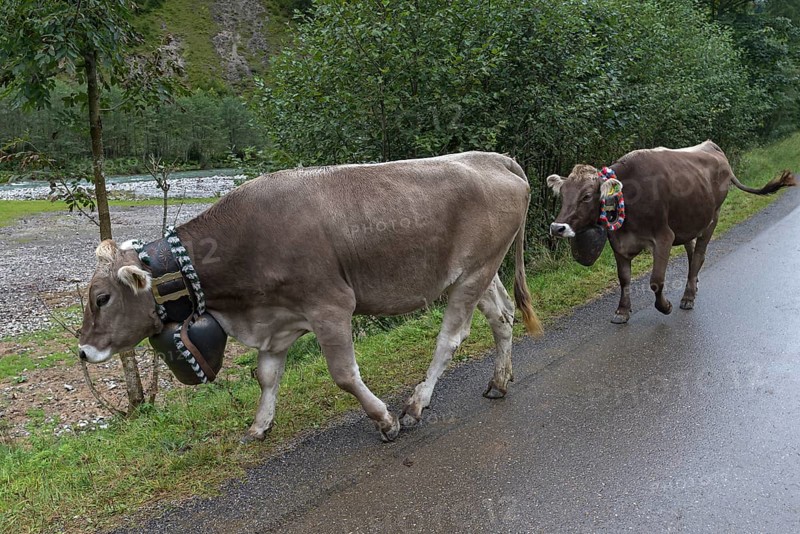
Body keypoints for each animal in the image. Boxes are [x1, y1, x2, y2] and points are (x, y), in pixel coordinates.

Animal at [78, 152, 542, 443]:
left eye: (101, 298)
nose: (83, 350)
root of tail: (490, 157)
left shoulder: (330, 306)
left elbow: (343, 374)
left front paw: (384, 420)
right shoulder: (277, 319)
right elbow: (266, 375)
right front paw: (259, 426)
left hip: (473, 273)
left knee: (451, 338)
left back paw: (415, 405)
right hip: (476, 271)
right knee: (502, 317)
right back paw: (499, 382)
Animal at [547, 140, 795, 324]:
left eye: (587, 196)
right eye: (563, 193)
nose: (557, 227)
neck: (630, 196)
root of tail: (713, 147)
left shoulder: (664, 237)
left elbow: (656, 281)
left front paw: (665, 306)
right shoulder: (618, 241)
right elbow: (624, 279)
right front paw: (622, 311)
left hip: (712, 218)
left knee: (699, 255)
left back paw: (688, 297)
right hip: (687, 221)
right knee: (692, 251)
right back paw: (694, 284)